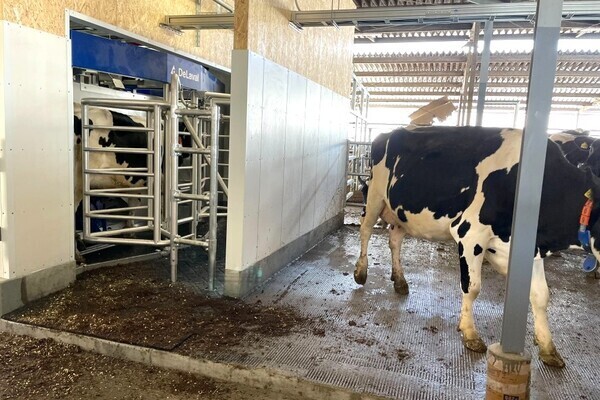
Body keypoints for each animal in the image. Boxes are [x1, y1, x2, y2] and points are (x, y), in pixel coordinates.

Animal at [355, 125, 600, 368]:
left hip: (401, 213)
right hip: (375, 195)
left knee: (395, 239)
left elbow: (540, 296)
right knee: (365, 229)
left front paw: (548, 347)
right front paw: (470, 333)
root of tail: (390, 132)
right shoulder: (470, 233)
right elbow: (472, 287)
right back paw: (361, 271)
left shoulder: (528, 249)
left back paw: (400, 280)